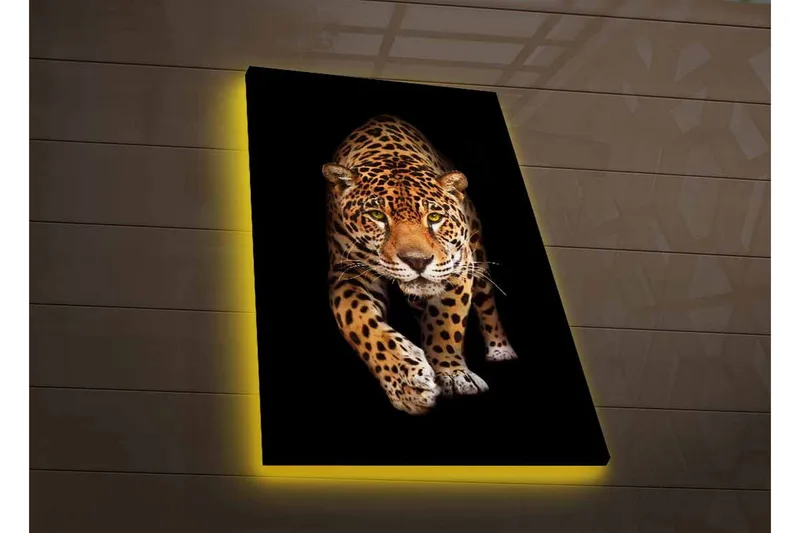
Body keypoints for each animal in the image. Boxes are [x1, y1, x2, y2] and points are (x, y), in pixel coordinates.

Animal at [322, 114, 517, 415]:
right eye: (377, 215)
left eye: (435, 217)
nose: (418, 261)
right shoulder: (348, 272)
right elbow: (360, 322)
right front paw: (407, 383)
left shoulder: (457, 265)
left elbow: (446, 322)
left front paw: (452, 374)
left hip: (479, 256)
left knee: (486, 302)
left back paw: (500, 350)